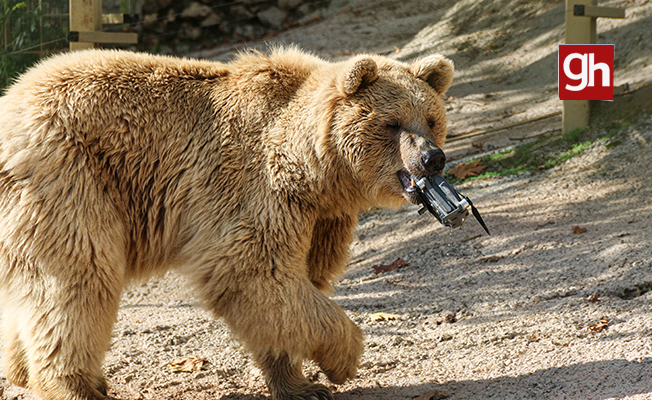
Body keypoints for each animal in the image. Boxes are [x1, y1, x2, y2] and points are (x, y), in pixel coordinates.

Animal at [1, 47, 454, 400]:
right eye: (392, 123)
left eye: (431, 118)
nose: (431, 157)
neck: (317, 171)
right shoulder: (253, 187)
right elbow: (254, 272)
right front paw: (343, 358)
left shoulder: (321, 218)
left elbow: (290, 292)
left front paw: (300, 384)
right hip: (70, 177)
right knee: (78, 279)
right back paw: (75, 385)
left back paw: (24, 371)